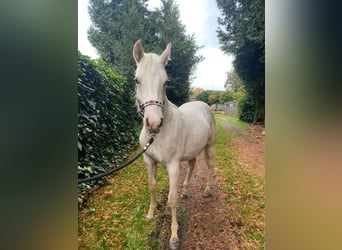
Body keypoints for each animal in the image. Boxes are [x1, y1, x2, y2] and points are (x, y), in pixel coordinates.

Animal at [132, 40, 215, 249]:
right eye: (137, 80)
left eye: (166, 82)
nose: (154, 123)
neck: (158, 135)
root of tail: (204, 105)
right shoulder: (149, 161)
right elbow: (152, 186)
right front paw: (150, 214)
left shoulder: (173, 166)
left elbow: (171, 199)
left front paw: (174, 237)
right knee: (192, 165)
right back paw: (185, 191)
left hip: (209, 148)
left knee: (210, 167)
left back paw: (207, 191)